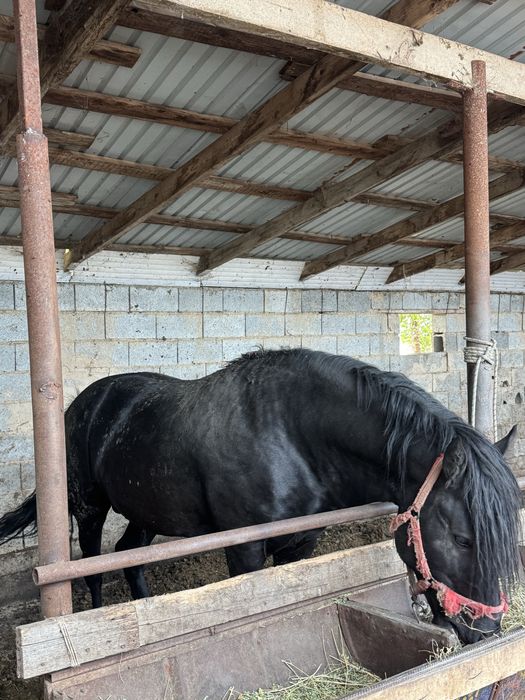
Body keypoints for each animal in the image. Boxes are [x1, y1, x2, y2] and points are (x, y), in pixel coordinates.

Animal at [0, 348, 521, 645]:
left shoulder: (302, 541)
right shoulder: (245, 547)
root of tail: (80, 405)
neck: (292, 432)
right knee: (91, 564)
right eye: (463, 538)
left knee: (130, 556)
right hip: (88, 506)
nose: (484, 631)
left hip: (146, 510)